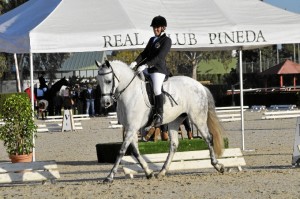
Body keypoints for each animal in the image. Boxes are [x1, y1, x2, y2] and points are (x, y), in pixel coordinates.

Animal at [96, 60, 225, 183]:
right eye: (98, 81)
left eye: (108, 81)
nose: (105, 103)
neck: (130, 92)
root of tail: (200, 85)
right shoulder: (130, 128)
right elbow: (135, 152)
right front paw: (149, 172)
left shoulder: (132, 127)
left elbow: (121, 151)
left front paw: (109, 177)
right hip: (175, 121)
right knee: (174, 144)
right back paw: (162, 171)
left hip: (198, 118)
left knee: (208, 138)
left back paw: (218, 166)